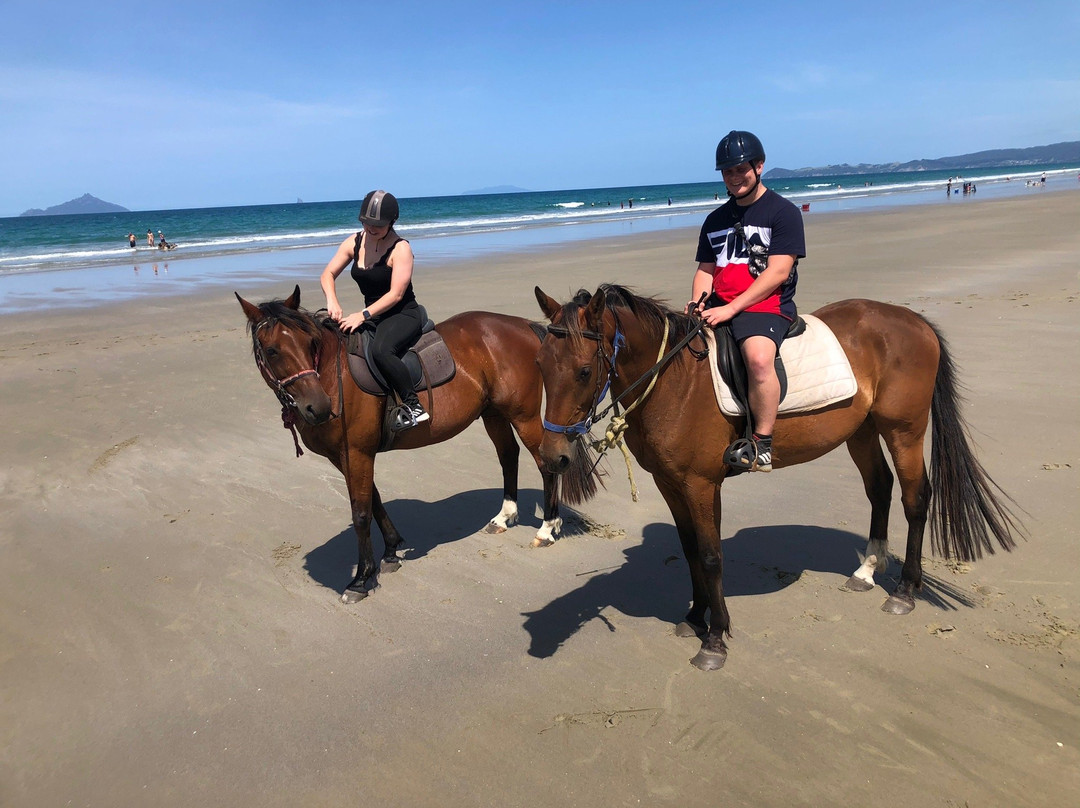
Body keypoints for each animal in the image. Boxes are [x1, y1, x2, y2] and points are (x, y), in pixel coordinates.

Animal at [236, 285, 597, 603]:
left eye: (310, 343)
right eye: (272, 350)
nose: (319, 407)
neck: (331, 376)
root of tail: (523, 325)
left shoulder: (357, 453)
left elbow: (361, 512)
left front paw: (361, 578)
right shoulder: (346, 457)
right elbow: (374, 500)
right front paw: (391, 550)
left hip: (523, 415)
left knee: (546, 462)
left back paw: (548, 528)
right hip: (493, 413)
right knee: (509, 456)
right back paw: (503, 517)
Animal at [533, 284, 1022, 671]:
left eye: (583, 371)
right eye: (540, 366)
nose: (554, 456)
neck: (674, 379)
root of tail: (914, 321)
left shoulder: (699, 484)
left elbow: (710, 556)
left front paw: (715, 637)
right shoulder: (670, 484)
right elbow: (689, 550)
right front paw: (694, 618)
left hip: (904, 429)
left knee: (915, 498)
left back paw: (904, 591)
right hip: (861, 430)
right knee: (879, 489)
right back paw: (866, 570)